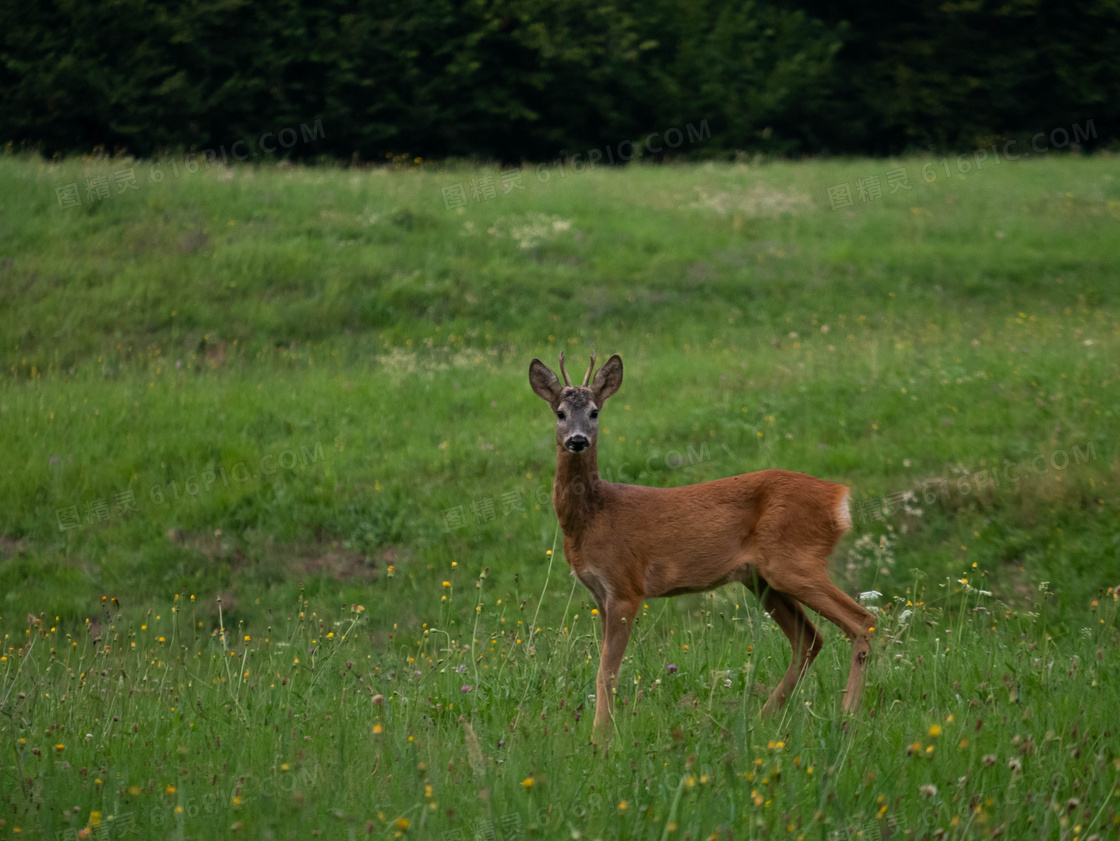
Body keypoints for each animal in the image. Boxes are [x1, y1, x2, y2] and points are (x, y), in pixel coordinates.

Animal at [528, 349, 878, 743]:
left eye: (594, 412)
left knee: (862, 620)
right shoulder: (600, 594)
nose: (577, 440)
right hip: (760, 577)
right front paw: (603, 732)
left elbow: (608, 671)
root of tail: (839, 497)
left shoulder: (626, 585)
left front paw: (600, 738)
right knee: (809, 639)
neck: (594, 517)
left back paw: (847, 716)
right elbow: (606, 668)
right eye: (559, 412)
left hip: (792, 562)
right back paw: (762, 717)